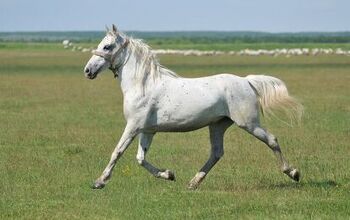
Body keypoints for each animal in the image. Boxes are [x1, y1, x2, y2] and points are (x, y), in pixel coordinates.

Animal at [83, 24, 302, 190]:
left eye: (107, 46)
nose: (87, 71)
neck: (143, 85)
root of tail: (246, 81)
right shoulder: (147, 130)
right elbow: (141, 158)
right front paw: (169, 174)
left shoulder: (133, 126)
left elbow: (117, 152)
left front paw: (99, 182)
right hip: (218, 125)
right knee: (216, 153)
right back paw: (193, 182)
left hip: (249, 123)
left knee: (271, 140)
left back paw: (293, 172)